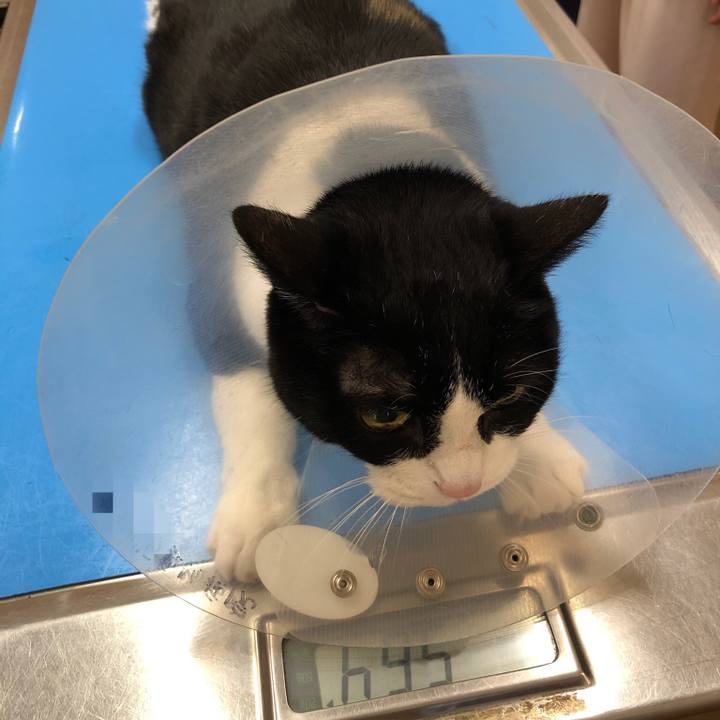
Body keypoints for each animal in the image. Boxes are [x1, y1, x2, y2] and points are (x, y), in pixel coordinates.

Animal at [143, 0, 608, 582]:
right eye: (384, 416)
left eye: (507, 395)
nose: (462, 486)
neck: (368, 151)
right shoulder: (214, 294)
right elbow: (250, 397)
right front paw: (258, 516)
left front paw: (539, 459)